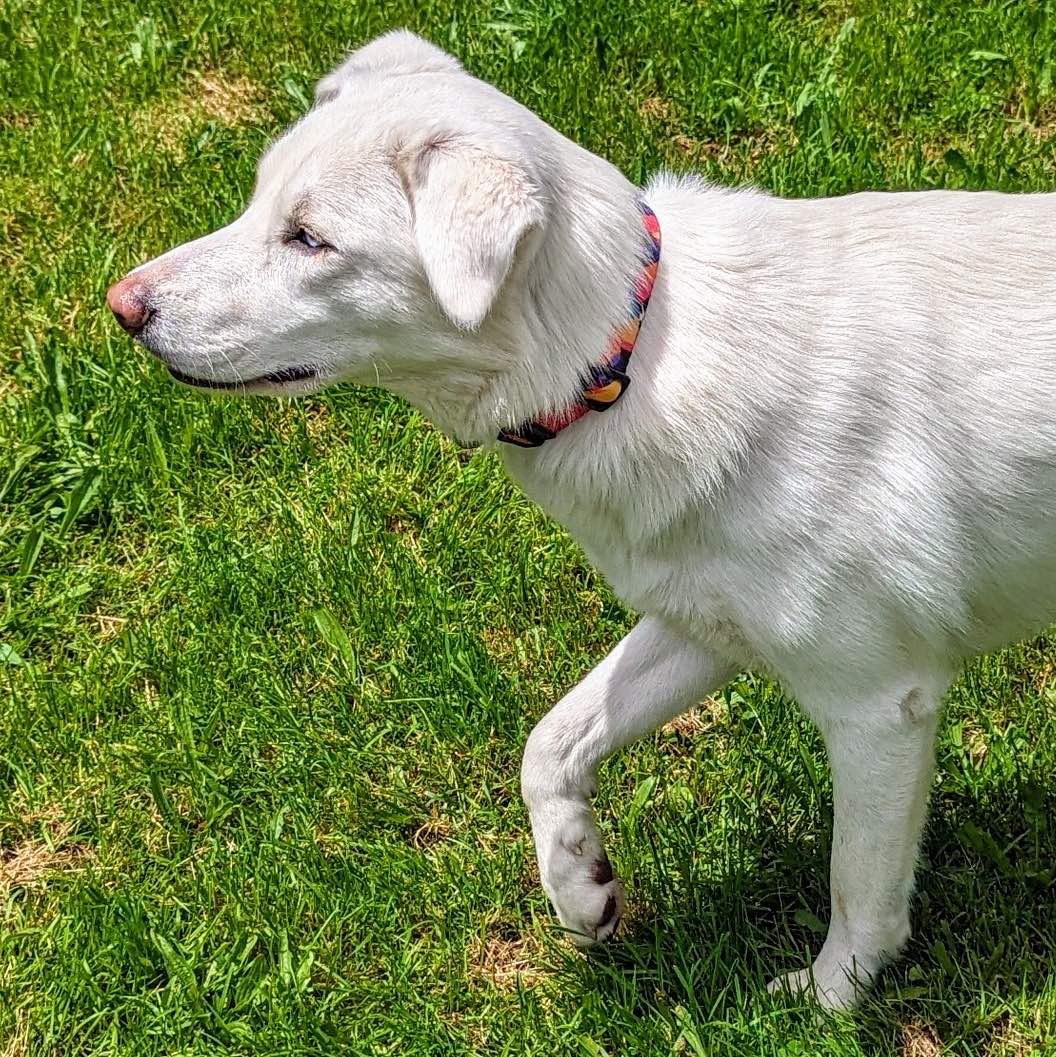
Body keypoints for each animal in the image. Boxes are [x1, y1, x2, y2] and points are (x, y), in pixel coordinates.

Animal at [109, 30, 1056, 1006]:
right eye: (258, 200)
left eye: (309, 238)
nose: (123, 304)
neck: (632, 353)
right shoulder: (705, 622)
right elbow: (550, 742)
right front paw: (578, 885)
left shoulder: (877, 703)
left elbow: (858, 887)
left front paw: (826, 1000)